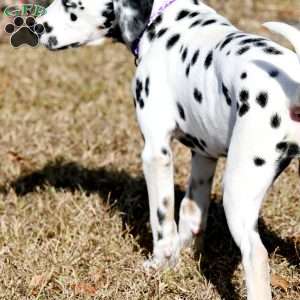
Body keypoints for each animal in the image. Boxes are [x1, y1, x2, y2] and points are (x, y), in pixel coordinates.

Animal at [38, 0, 300, 300]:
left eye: (70, 4)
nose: (36, 26)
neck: (163, 21)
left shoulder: (156, 152)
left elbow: (161, 217)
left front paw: (161, 262)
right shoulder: (203, 156)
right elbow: (191, 211)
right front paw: (184, 254)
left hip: (239, 192)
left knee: (255, 254)